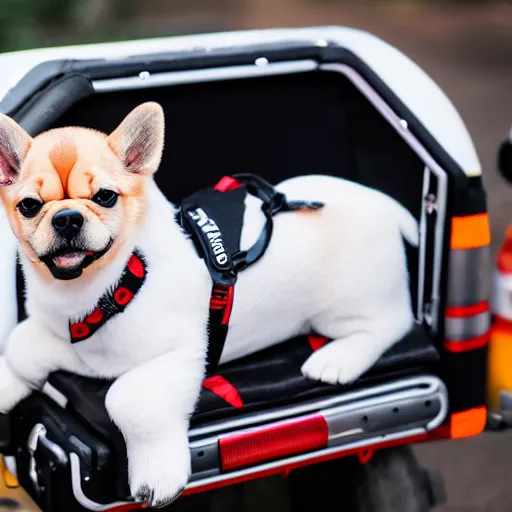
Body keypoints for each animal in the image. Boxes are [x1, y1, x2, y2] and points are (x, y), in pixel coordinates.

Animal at [0, 102, 418, 506]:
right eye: (29, 206)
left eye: (105, 197)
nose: (66, 218)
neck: (113, 278)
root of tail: (386, 205)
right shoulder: (69, 341)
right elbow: (21, 346)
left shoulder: (178, 354)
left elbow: (128, 399)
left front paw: (155, 470)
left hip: (345, 305)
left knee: (393, 323)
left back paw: (339, 358)